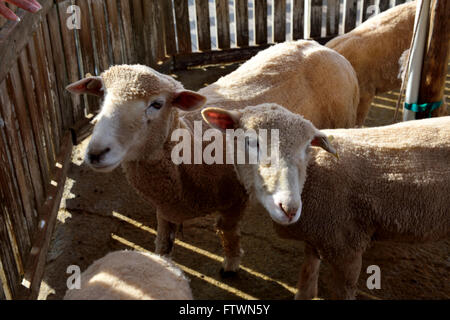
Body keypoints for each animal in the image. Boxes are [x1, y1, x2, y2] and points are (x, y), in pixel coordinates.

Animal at [65, 40, 358, 276]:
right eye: (102, 96)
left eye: (157, 104)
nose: (95, 152)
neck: (188, 152)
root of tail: (319, 46)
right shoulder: (164, 207)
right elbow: (163, 243)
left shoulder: (235, 198)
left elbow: (226, 231)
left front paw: (231, 263)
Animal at [204, 103, 450, 300]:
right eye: (250, 142)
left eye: (307, 147)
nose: (290, 208)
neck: (314, 174)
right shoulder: (317, 235)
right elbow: (307, 277)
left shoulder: (346, 246)